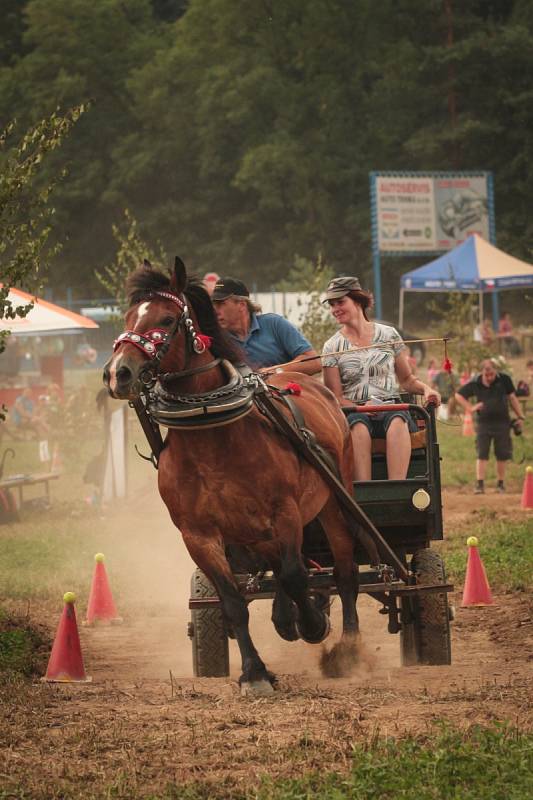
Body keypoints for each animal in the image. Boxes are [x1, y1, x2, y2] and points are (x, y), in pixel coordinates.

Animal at [103, 260, 362, 692]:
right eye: (127, 317)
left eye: (167, 319)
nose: (118, 374)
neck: (210, 434)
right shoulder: (198, 534)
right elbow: (233, 602)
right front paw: (254, 672)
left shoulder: (285, 512)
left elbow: (296, 575)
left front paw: (312, 624)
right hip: (256, 531)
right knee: (279, 568)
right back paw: (284, 618)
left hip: (333, 502)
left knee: (344, 571)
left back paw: (347, 647)